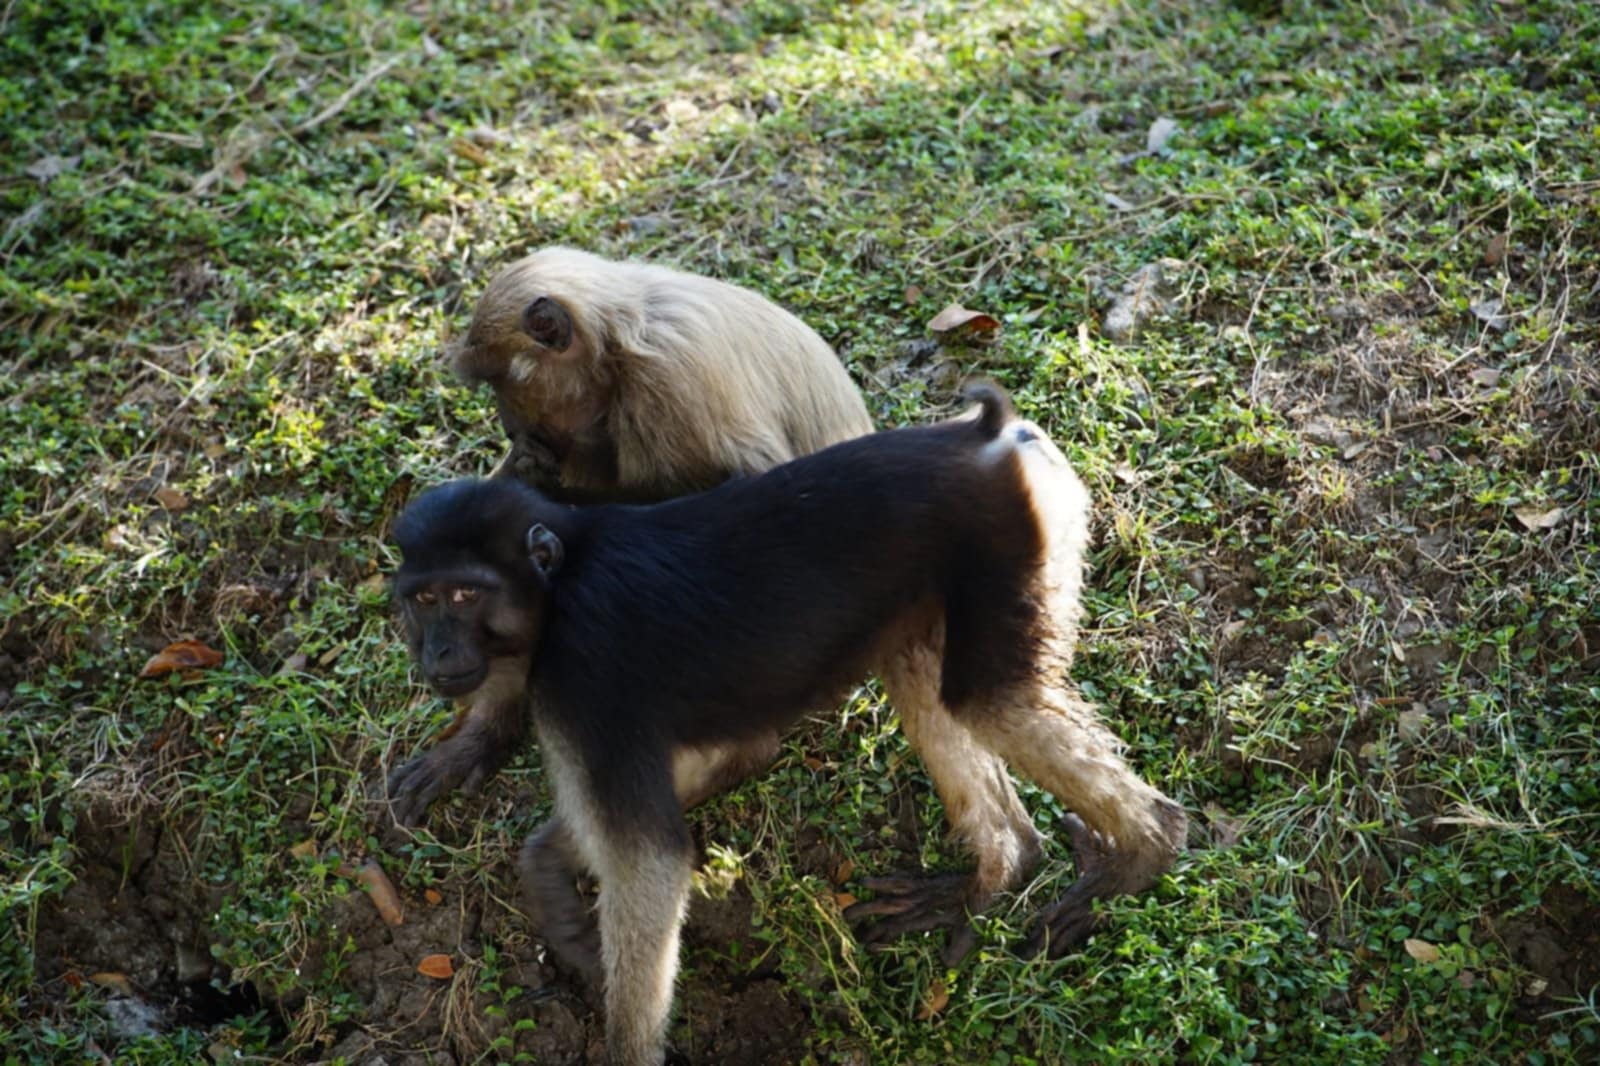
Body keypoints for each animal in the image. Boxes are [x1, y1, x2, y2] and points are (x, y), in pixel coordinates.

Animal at [391, 385, 1187, 1066]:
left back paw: (1146, 850)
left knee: (988, 698)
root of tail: (990, 437)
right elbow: (742, 753)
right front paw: (548, 870)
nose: (438, 652)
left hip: (1007, 539)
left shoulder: (584, 675)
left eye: (465, 596)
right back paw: (998, 872)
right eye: (424, 600)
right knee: (923, 670)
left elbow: (653, 862)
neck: (562, 582)